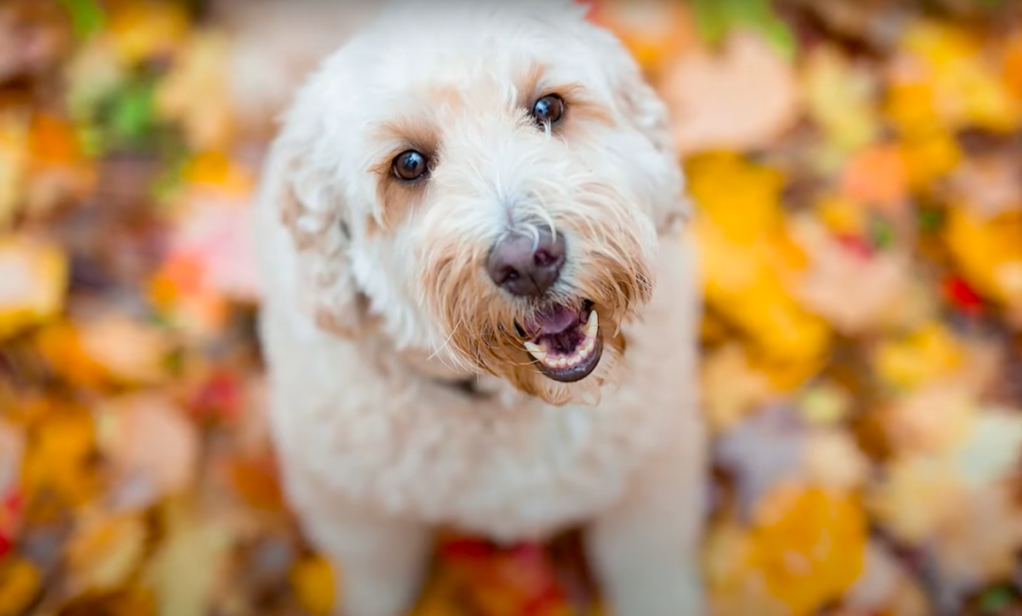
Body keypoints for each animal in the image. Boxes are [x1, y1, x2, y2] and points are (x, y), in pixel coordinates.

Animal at [253, 2, 703, 612]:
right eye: (409, 164)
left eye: (548, 107)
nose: (529, 261)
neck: (511, 407)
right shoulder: (354, 510)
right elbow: (375, 579)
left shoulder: (656, 473)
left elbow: (650, 572)